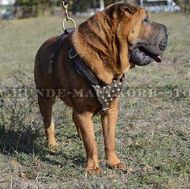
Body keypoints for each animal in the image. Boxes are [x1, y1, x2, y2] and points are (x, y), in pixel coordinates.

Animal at [34, 2, 168, 174]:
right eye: (145, 20)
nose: (167, 30)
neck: (105, 55)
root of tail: (43, 45)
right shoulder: (84, 112)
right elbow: (91, 143)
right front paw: (92, 168)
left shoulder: (111, 110)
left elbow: (109, 140)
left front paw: (114, 163)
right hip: (45, 98)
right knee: (48, 122)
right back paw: (52, 145)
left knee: (74, 118)